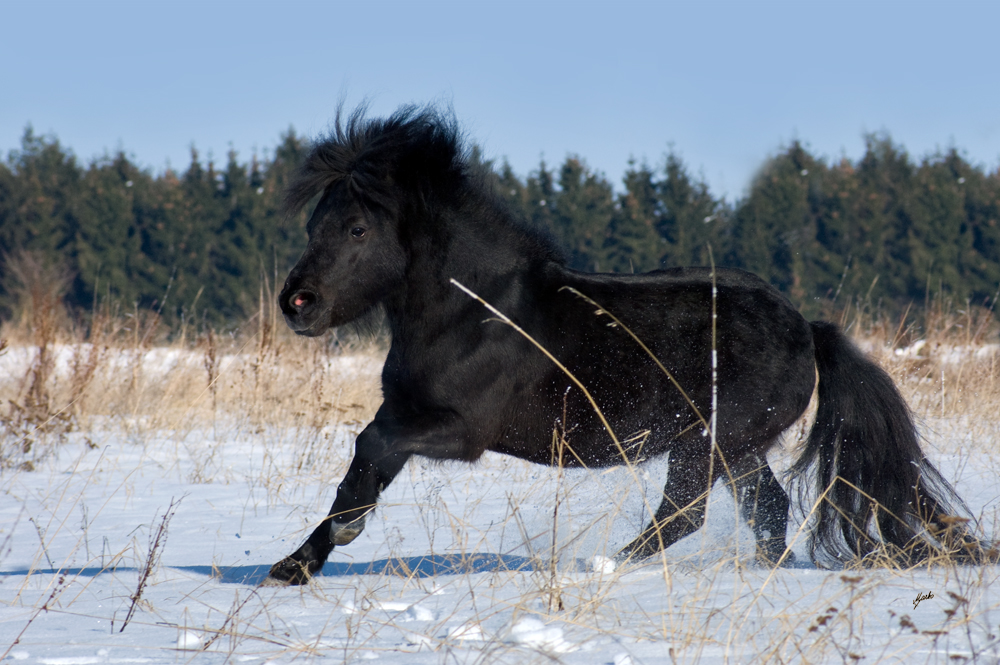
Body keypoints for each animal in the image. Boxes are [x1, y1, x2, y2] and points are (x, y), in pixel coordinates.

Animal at [264, 105, 984, 588]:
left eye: (358, 228)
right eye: (314, 223)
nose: (297, 303)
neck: (474, 313)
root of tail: (808, 328)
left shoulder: (459, 429)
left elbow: (371, 446)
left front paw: (323, 545)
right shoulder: (406, 412)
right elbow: (364, 464)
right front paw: (296, 563)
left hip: (707, 441)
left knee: (684, 513)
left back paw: (602, 565)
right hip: (738, 447)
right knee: (766, 508)